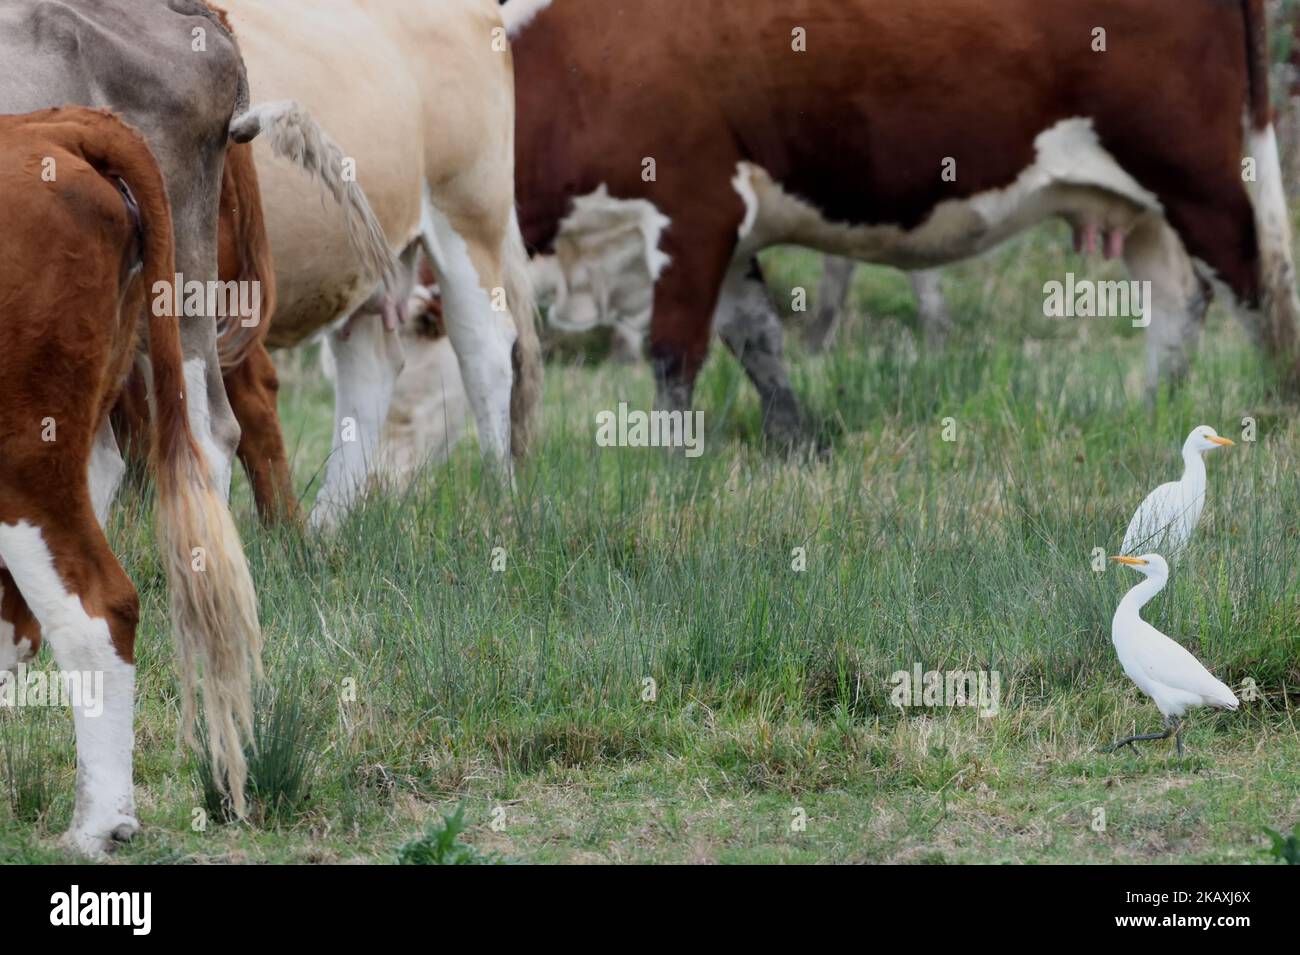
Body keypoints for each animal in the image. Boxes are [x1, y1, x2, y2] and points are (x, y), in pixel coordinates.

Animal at [504, 0, 1300, 441]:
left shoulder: (694, 208)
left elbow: (675, 356)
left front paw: (674, 465)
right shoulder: (721, 233)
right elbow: (758, 339)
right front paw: (797, 444)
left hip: (1195, 173)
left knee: (1254, 287)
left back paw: (1271, 411)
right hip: (1139, 203)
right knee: (1179, 297)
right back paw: (1153, 411)